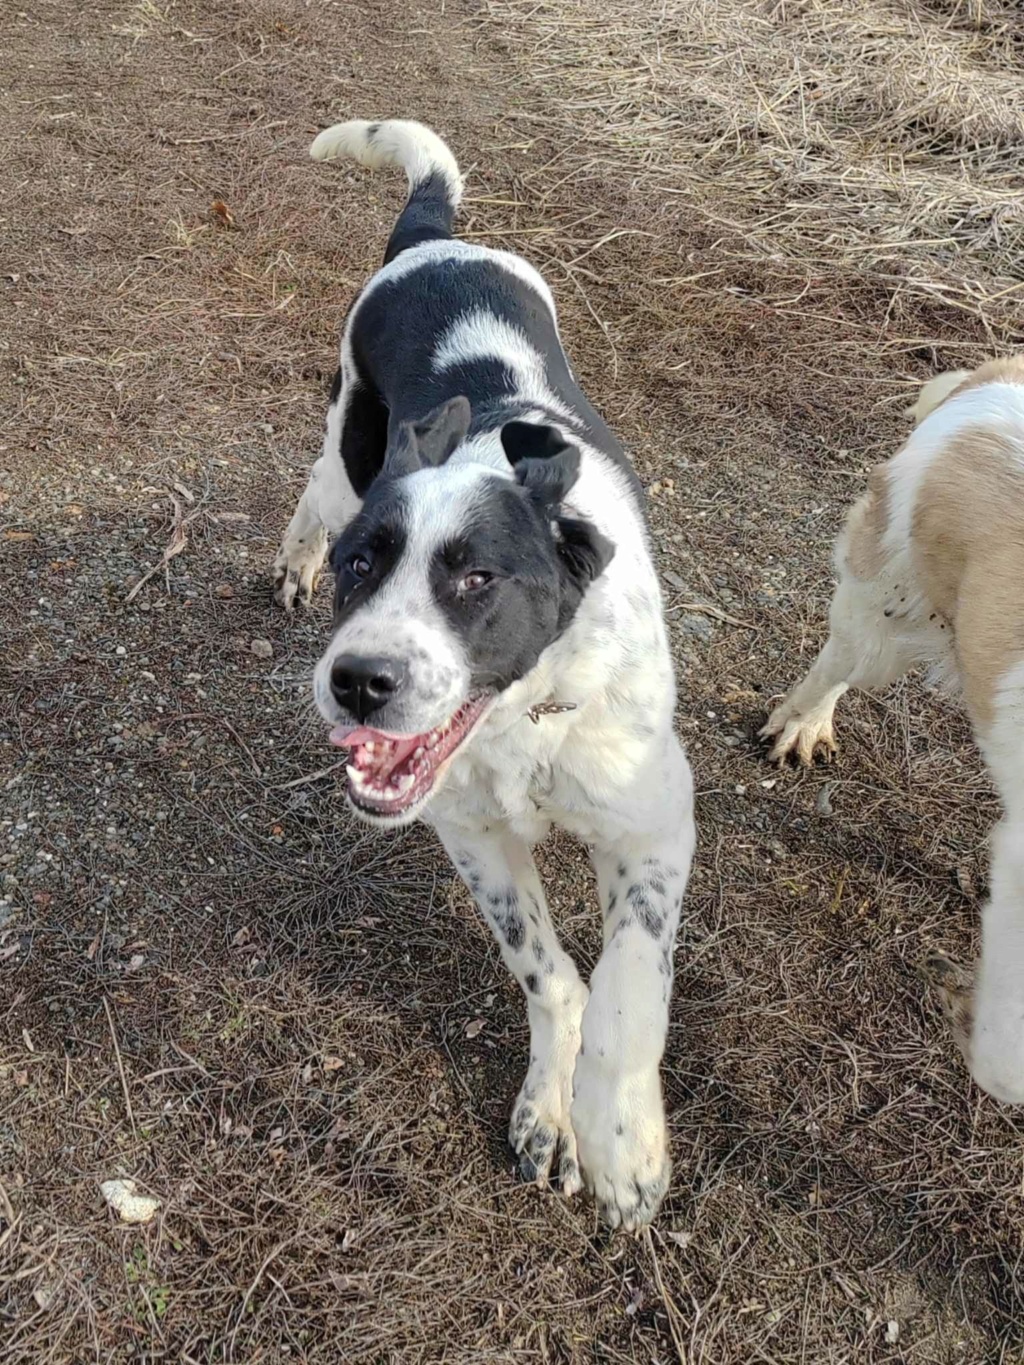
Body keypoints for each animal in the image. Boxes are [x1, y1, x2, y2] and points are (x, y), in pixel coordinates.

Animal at [273, 122, 699, 1233]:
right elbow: (550, 975)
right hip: (348, 434)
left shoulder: (654, 824)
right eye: (364, 567)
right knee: (312, 490)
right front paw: (553, 1115)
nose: (358, 682)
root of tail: (437, 238)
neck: (524, 722)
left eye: (474, 579)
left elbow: (628, 992)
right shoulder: (470, 832)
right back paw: (290, 560)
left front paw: (616, 1138)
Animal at [764, 357, 1024, 1102]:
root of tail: (993, 372)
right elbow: (1007, 1056)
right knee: (835, 659)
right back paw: (802, 724)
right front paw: (966, 1006)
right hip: (889, 613)